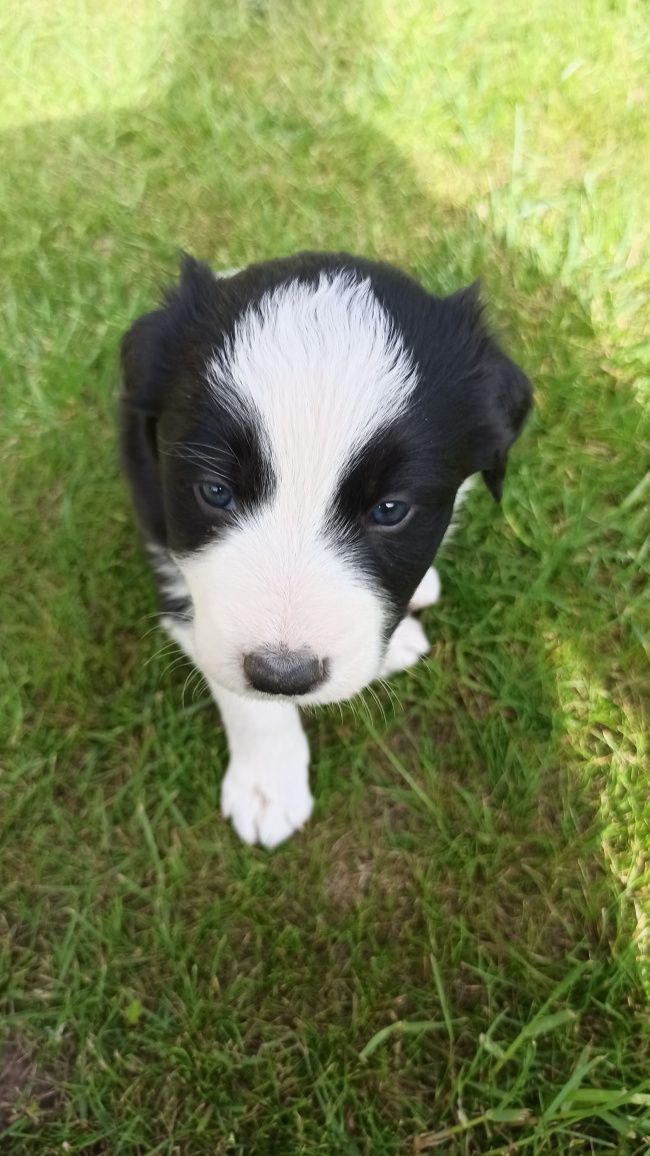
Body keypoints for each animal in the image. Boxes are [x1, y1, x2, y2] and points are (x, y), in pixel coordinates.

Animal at [121, 250, 532, 850]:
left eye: (390, 509)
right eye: (215, 491)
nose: (283, 675)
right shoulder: (167, 545)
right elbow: (245, 696)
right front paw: (267, 786)